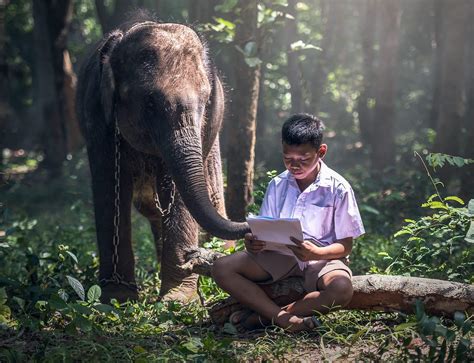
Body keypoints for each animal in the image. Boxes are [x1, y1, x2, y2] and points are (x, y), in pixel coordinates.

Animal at [76, 20, 250, 304]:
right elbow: (109, 188)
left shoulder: (206, 126)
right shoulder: (96, 116)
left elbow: (180, 195)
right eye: (149, 102)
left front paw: (177, 300)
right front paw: (115, 298)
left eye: (205, 101)